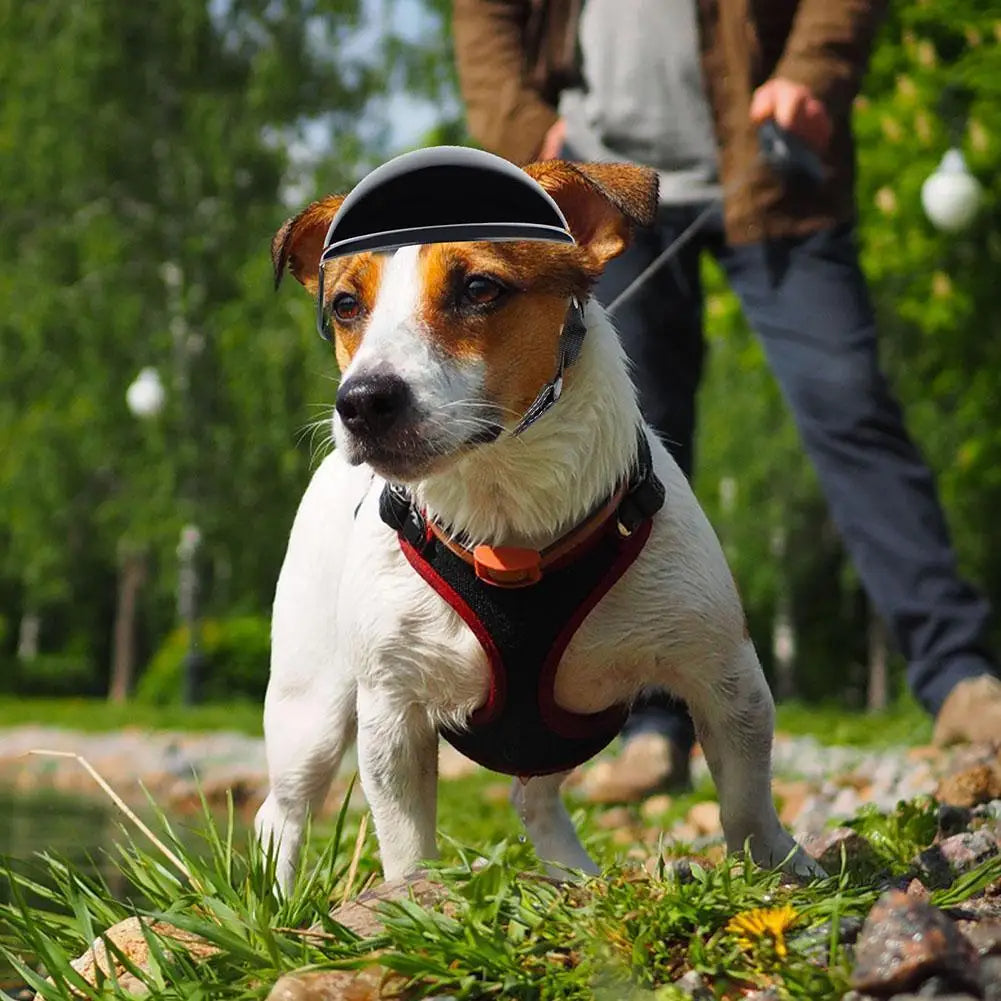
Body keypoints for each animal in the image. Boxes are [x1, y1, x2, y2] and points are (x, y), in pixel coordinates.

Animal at [252, 158, 820, 892]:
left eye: (478, 288)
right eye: (346, 305)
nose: (361, 402)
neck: (508, 519)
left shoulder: (724, 673)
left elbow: (747, 795)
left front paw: (779, 864)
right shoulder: (393, 712)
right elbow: (405, 838)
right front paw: (411, 898)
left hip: (562, 724)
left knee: (533, 796)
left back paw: (573, 872)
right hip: (311, 710)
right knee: (282, 813)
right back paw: (278, 901)